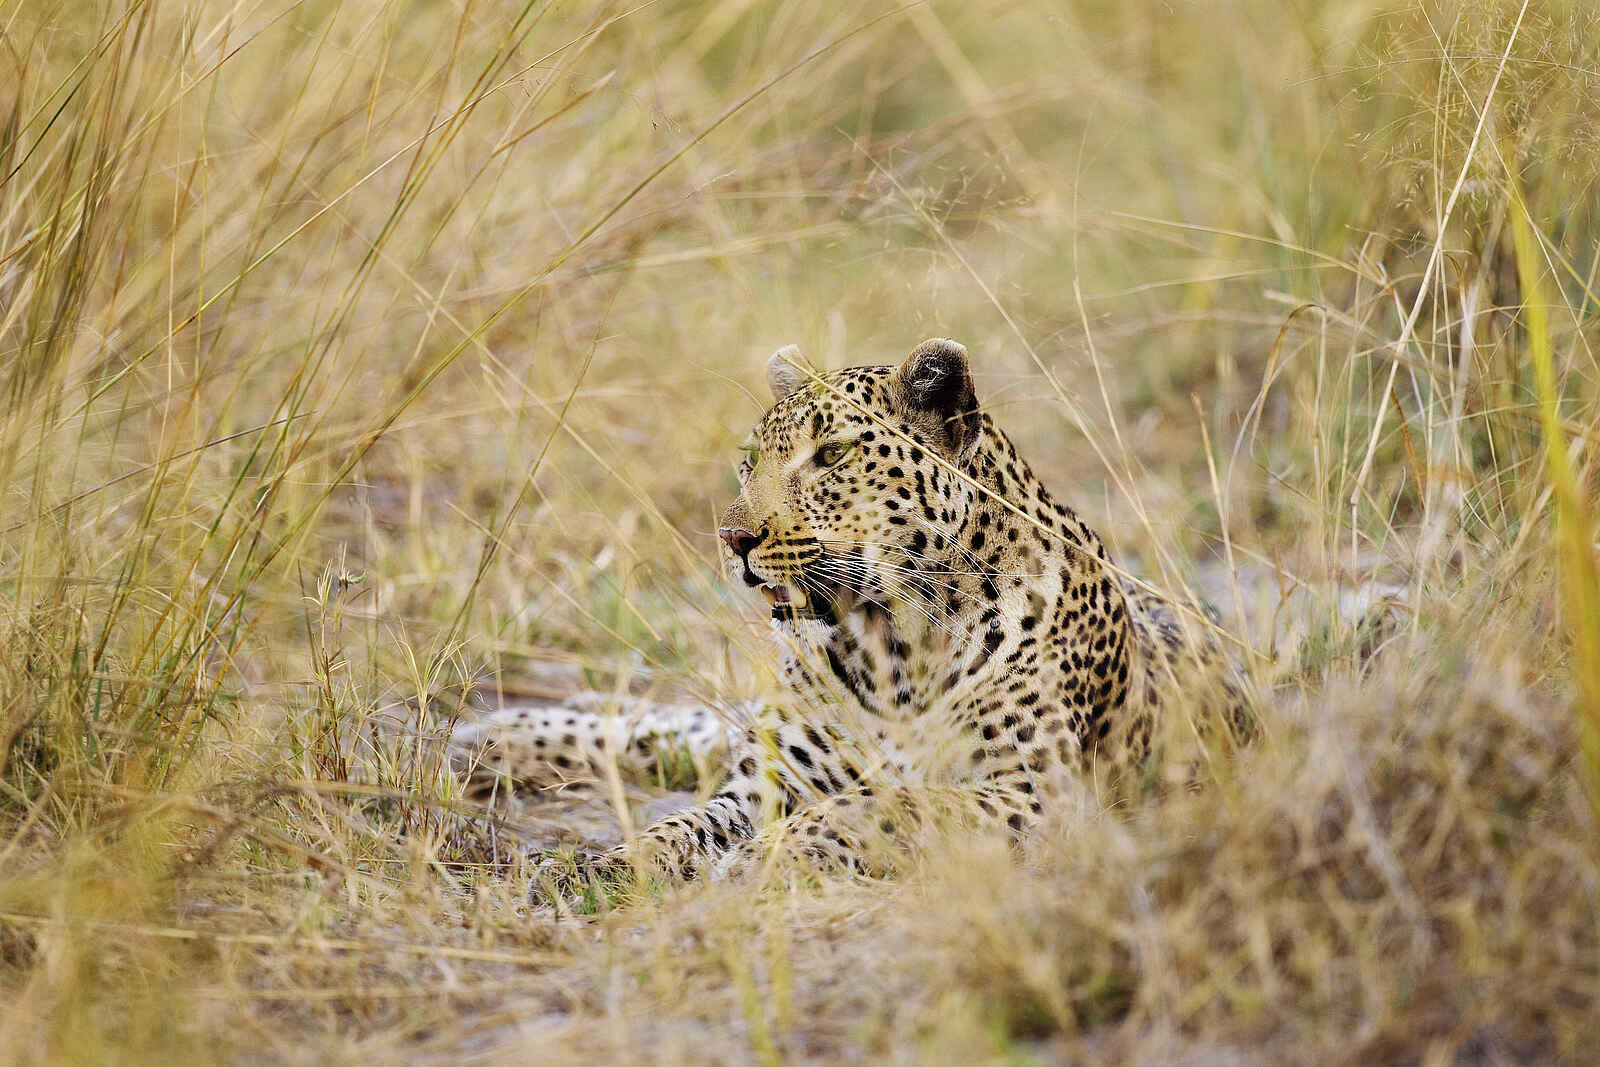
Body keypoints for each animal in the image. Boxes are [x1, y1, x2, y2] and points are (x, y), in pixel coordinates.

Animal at [448, 338, 1245, 891]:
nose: (732, 538)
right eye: (749, 462)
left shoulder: (1037, 790)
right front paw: (607, 863)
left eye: (830, 454)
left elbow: (890, 803)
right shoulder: (768, 785)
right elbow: (682, 822)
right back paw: (495, 736)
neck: (891, 645)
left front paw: (766, 859)